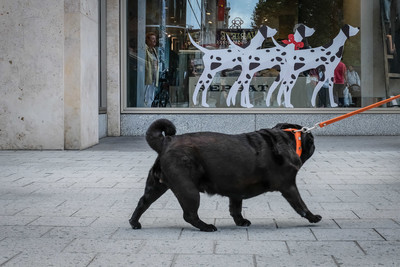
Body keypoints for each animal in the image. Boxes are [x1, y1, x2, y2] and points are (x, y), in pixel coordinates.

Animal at [129, 120, 322, 232]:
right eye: (311, 139)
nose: (314, 142)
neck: (288, 138)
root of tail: (166, 142)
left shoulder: (237, 189)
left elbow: (235, 208)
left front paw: (241, 221)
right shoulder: (289, 186)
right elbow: (300, 204)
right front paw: (313, 217)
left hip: (156, 185)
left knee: (143, 202)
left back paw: (134, 223)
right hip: (188, 189)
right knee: (189, 214)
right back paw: (206, 227)